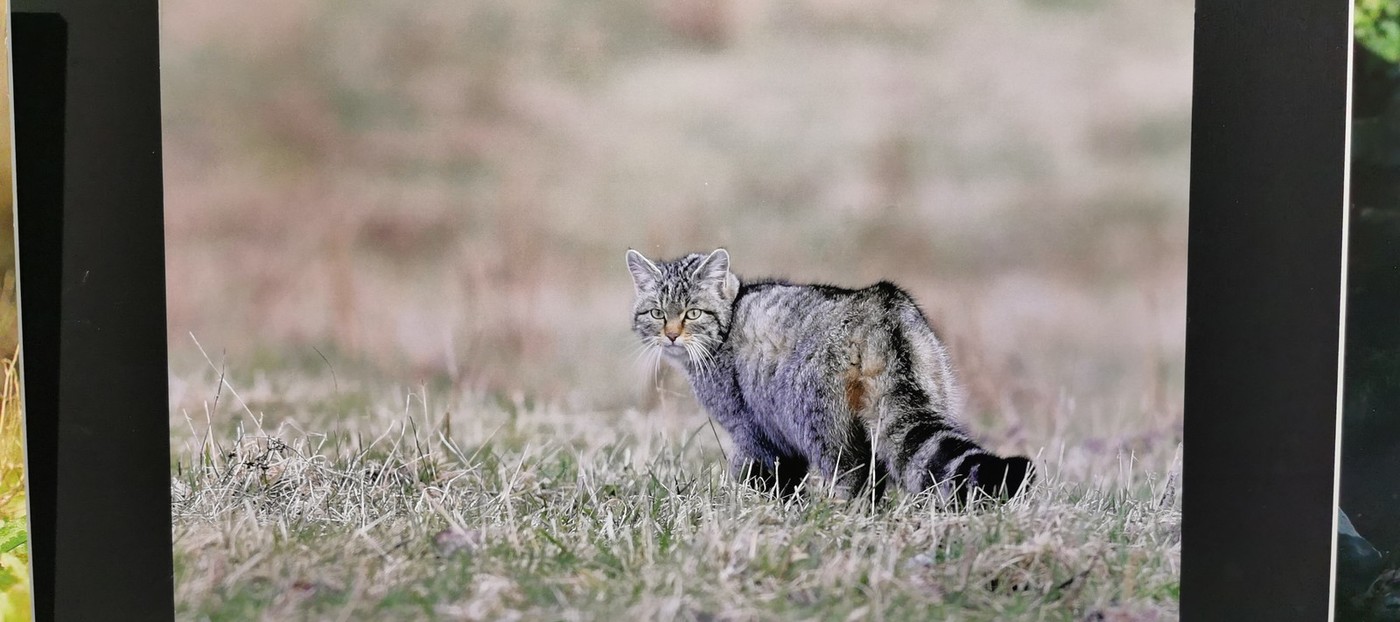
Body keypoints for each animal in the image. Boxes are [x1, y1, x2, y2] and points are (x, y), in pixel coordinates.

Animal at [630, 249, 1036, 504]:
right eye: (655, 313)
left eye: (693, 313)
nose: (671, 334)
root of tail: (882, 309)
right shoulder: (780, 441)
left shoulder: (753, 430)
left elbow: (756, 476)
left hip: (821, 424)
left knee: (854, 475)